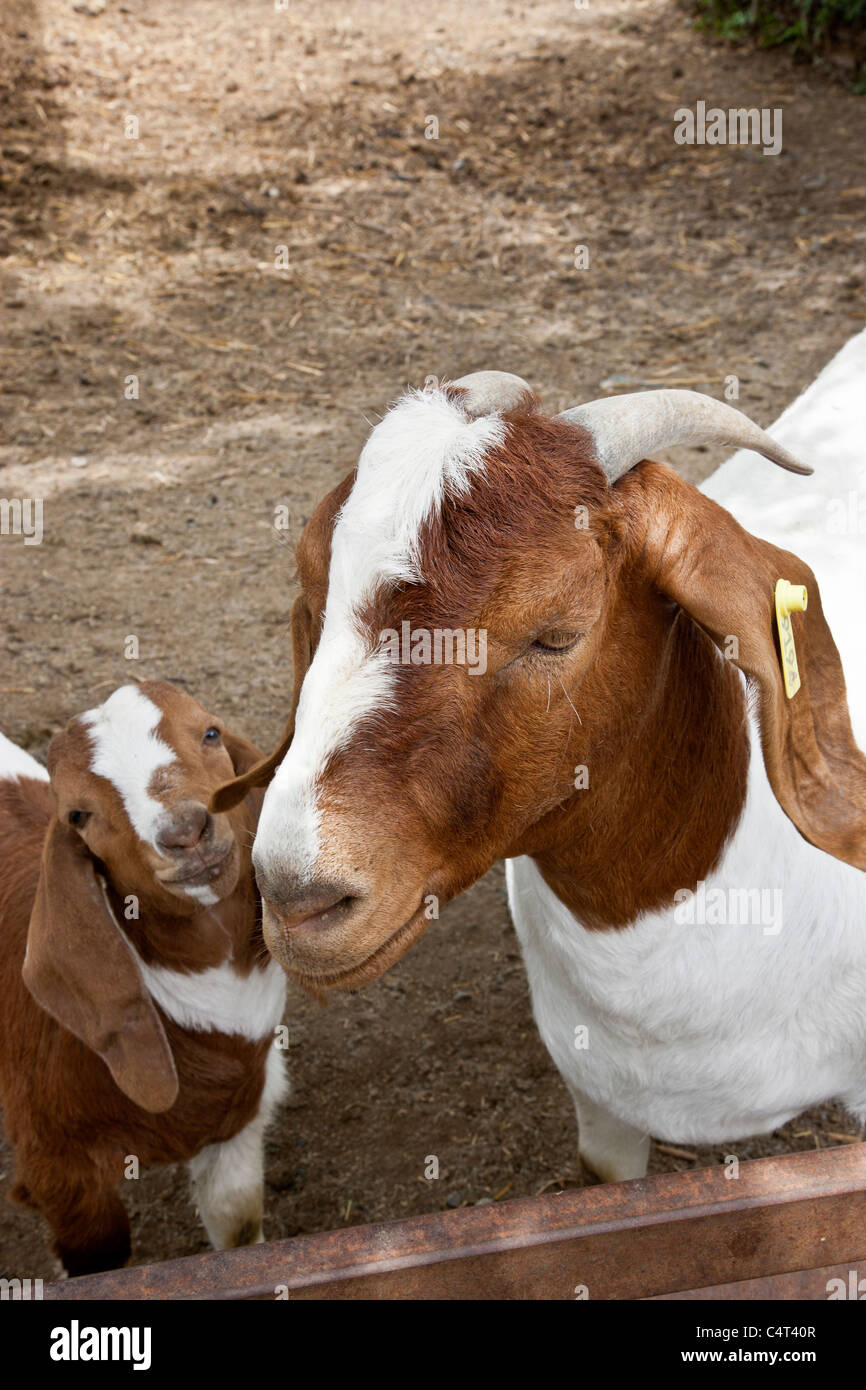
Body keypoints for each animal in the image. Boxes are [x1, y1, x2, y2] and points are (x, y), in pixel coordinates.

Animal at [0, 678, 287, 1273]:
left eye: (210, 733)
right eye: (78, 815)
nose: (185, 832)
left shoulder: (235, 1121)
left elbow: (237, 1225)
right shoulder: (56, 1164)